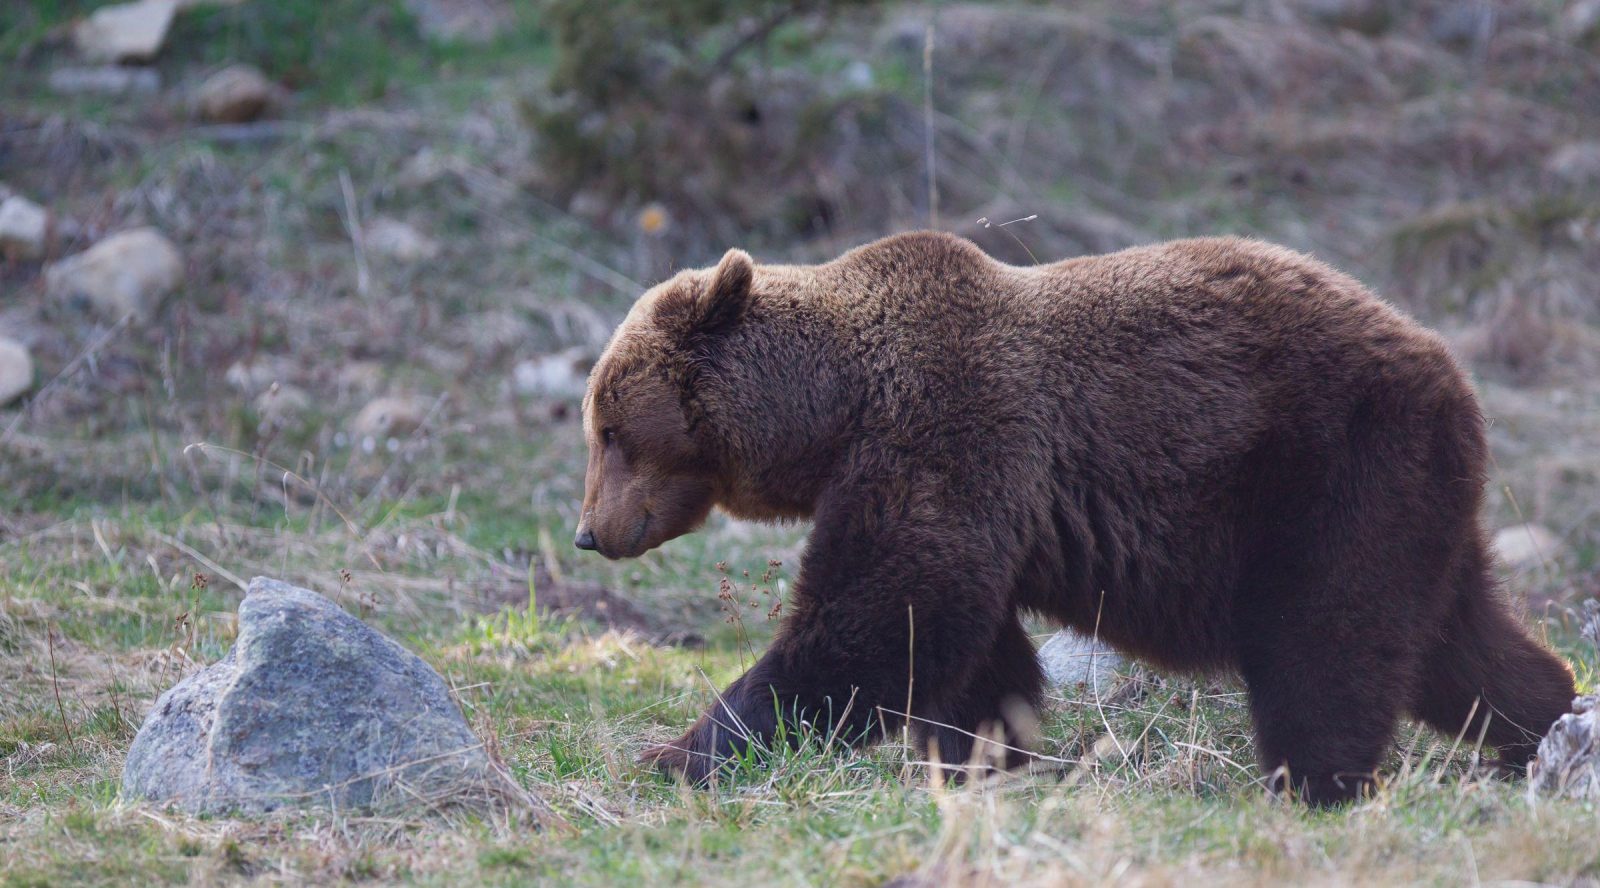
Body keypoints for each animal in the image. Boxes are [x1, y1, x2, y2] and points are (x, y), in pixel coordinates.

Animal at [576, 228, 1574, 806]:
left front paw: (685, 751)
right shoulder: (976, 494)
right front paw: (983, 757)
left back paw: (1315, 781)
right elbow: (970, 651)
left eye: (610, 428)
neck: (837, 409)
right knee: (1457, 641)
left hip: (1332, 469)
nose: (590, 531)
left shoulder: (947, 429)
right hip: (1413, 500)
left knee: (1326, 639)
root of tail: (1451, 372)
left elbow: (880, 617)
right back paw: (1541, 726)